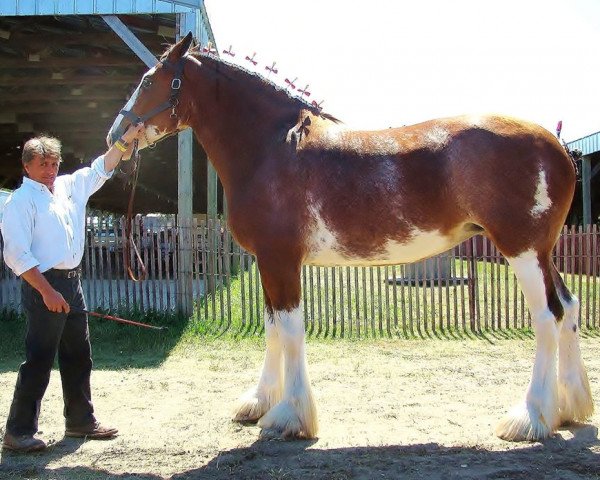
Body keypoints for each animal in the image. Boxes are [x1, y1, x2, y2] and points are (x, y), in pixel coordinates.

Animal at [109, 31, 596, 440]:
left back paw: (530, 417)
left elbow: (290, 330)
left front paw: (290, 416)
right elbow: (271, 329)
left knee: (548, 316)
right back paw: (570, 408)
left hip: (521, 249)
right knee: (570, 308)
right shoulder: (269, 263)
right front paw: (259, 402)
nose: (116, 134)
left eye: (151, 80)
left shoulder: (280, 260)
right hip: (542, 252)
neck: (272, 148)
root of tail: (558, 145)